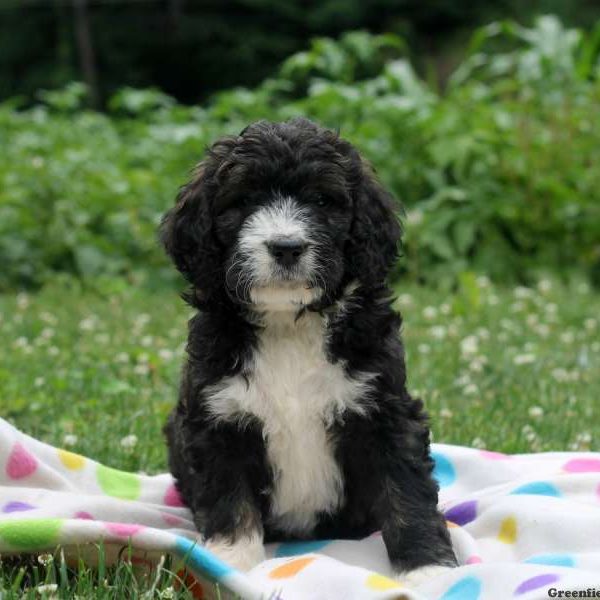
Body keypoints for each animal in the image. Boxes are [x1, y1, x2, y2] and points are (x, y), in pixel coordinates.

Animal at [159, 118, 454, 584]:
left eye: (321, 199)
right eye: (244, 200)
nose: (286, 247)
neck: (289, 325)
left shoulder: (385, 412)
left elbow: (406, 495)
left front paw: (428, 571)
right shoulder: (218, 419)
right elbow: (230, 501)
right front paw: (229, 563)